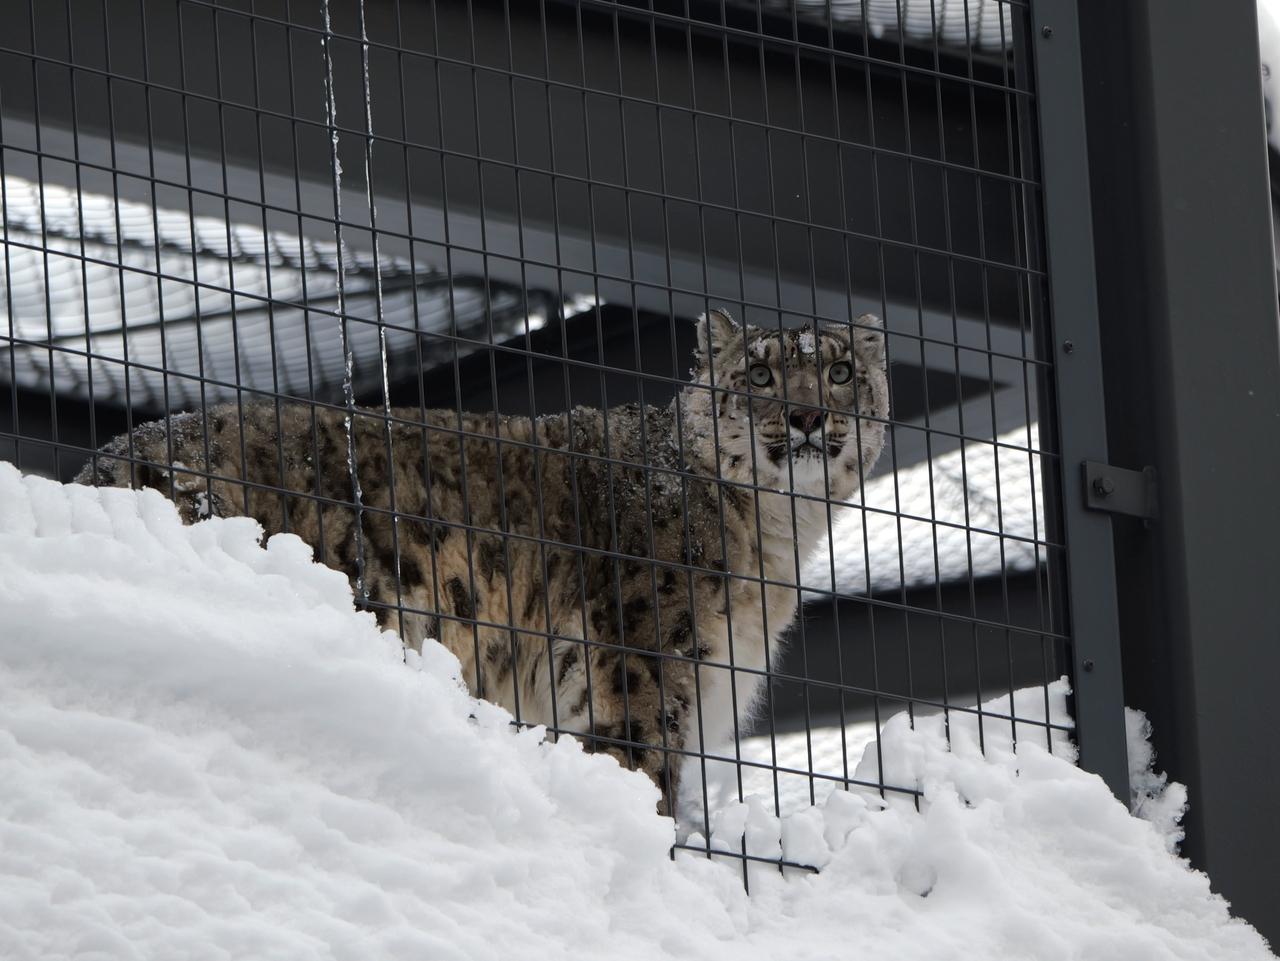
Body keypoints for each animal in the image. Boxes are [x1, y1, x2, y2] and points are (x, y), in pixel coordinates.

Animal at [76, 308, 890, 818]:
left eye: (842, 370)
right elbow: (645, 780)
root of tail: (110, 457)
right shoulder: (642, 677)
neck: (777, 538)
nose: (808, 415)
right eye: (759, 375)